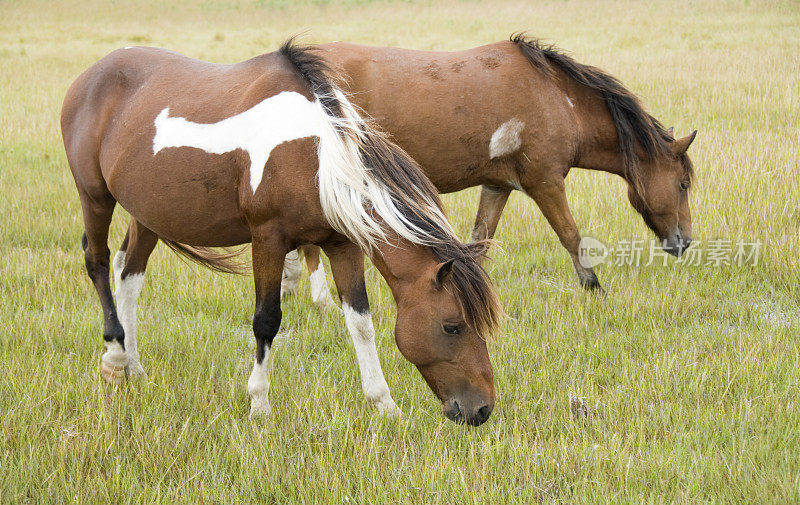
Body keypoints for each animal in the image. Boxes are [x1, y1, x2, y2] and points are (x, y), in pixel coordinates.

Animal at [62, 40, 500, 426]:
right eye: (452, 326)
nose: (481, 410)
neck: (317, 155)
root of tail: (91, 75)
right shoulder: (267, 240)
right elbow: (266, 320)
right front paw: (259, 404)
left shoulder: (342, 244)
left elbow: (361, 322)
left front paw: (385, 406)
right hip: (94, 196)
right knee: (98, 261)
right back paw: (115, 358)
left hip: (148, 212)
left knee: (129, 274)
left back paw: (134, 367)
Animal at [286, 35, 692, 304]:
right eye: (684, 184)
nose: (685, 241)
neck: (559, 98)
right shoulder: (545, 184)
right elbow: (571, 236)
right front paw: (594, 287)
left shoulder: (498, 187)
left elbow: (479, 240)